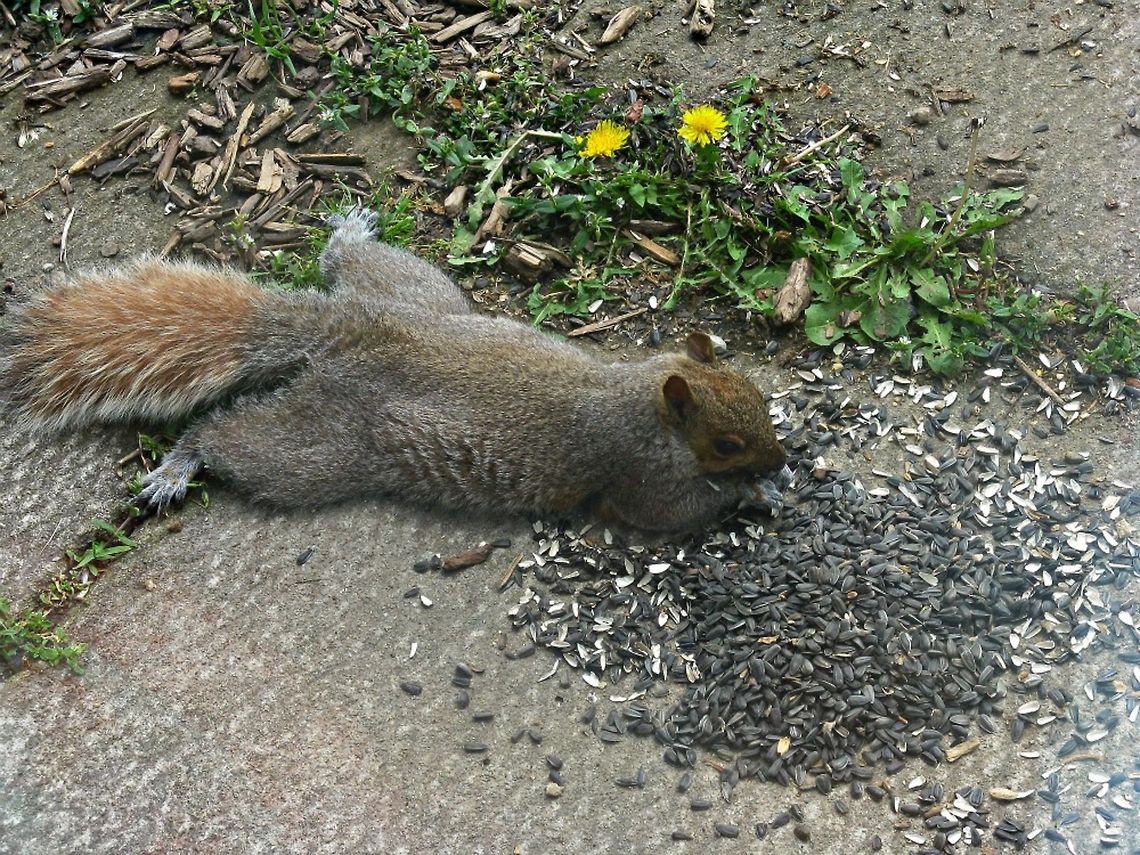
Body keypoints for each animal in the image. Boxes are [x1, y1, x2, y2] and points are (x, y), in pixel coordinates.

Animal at [0, 209, 790, 533]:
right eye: (726, 442)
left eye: (758, 395)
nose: (783, 458)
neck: (639, 392)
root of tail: (347, 327)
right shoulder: (635, 472)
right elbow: (667, 515)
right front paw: (748, 496)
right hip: (323, 446)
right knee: (229, 437)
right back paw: (179, 464)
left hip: (420, 291)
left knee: (353, 263)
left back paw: (349, 233)